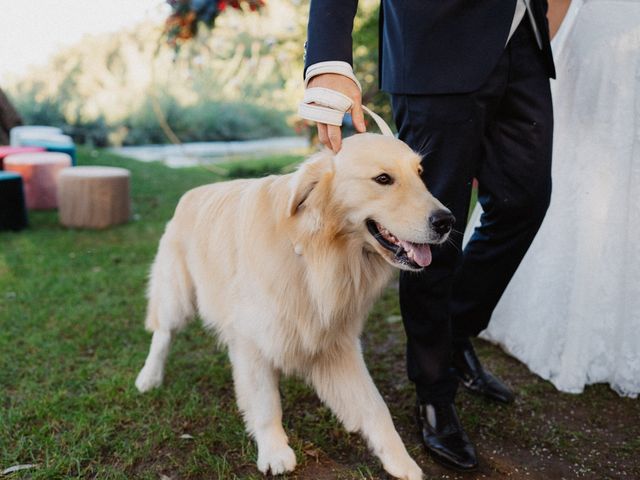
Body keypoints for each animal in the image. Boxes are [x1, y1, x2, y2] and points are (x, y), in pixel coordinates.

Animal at [136, 132, 456, 480]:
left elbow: (375, 407)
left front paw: (401, 462)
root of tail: (193, 192)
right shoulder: (253, 342)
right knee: (162, 334)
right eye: (383, 179)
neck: (319, 254)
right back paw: (149, 377)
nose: (447, 221)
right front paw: (274, 451)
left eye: (420, 174)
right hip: (177, 294)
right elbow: (265, 403)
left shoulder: (336, 344)